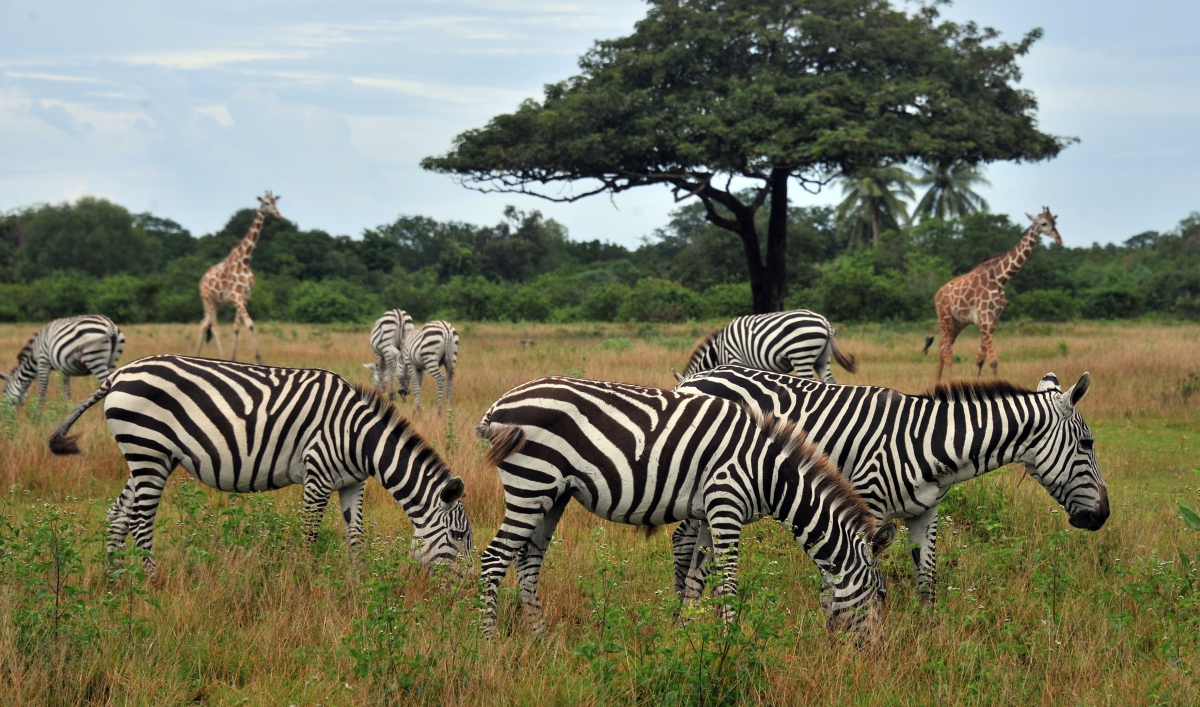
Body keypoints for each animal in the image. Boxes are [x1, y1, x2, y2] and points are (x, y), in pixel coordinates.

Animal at [46, 354, 472, 578]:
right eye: (457, 536)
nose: (464, 591)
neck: (358, 436)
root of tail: (120, 373)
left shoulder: (351, 483)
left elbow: (356, 537)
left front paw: (359, 583)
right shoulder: (317, 476)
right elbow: (309, 535)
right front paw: (306, 582)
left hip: (148, 456)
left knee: (118, 515)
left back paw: (116, 581)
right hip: (147, 451)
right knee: (140, 521)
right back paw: (153, 583)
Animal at [475, 376, 897, 645]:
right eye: (879, 595)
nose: (876, 652)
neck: (770, 474)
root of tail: (499, 404)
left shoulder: (711, 513)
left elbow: (696, 579)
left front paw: (687, 638)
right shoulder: (727, 504)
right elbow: (727, 583)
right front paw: (730, 645)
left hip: (552, 494)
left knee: (528, 561)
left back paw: (540, 639)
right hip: (531, 482)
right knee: (495, 558)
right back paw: (488, 642)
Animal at [673, 310, 856, 385]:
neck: (719, 350)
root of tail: (824, 321)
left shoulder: (734, 359)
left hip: (801, 354)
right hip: (822, 358)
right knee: (829, 381)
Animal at [674, 364, 1109, 606]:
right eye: (1087, 444)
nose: (1103, 516)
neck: (932, 442)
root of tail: (694, 378)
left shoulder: (926, 512)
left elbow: (927, 582)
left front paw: (930, 641)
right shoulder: (864, 505)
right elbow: (851, 576)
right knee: (682, 543)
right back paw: (682, 612)